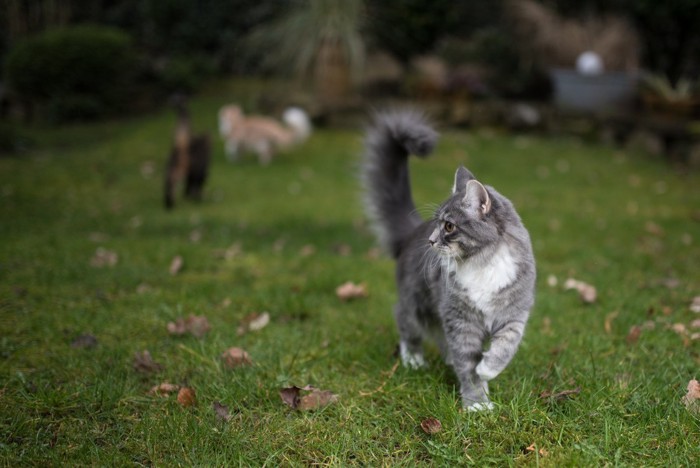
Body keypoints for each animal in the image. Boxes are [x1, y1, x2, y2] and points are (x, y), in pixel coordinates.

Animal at [360, 111, 536, 412]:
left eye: (449, 226)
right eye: (437, 224)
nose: (431, 240)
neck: (482, 263)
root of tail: (412, 233)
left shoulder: (515, 313)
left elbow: (506, 346)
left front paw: (488, 368)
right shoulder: (459, 318)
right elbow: (468, 362)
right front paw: (476, 401)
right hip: (418, 303)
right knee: (405, 320)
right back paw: (414, 358)